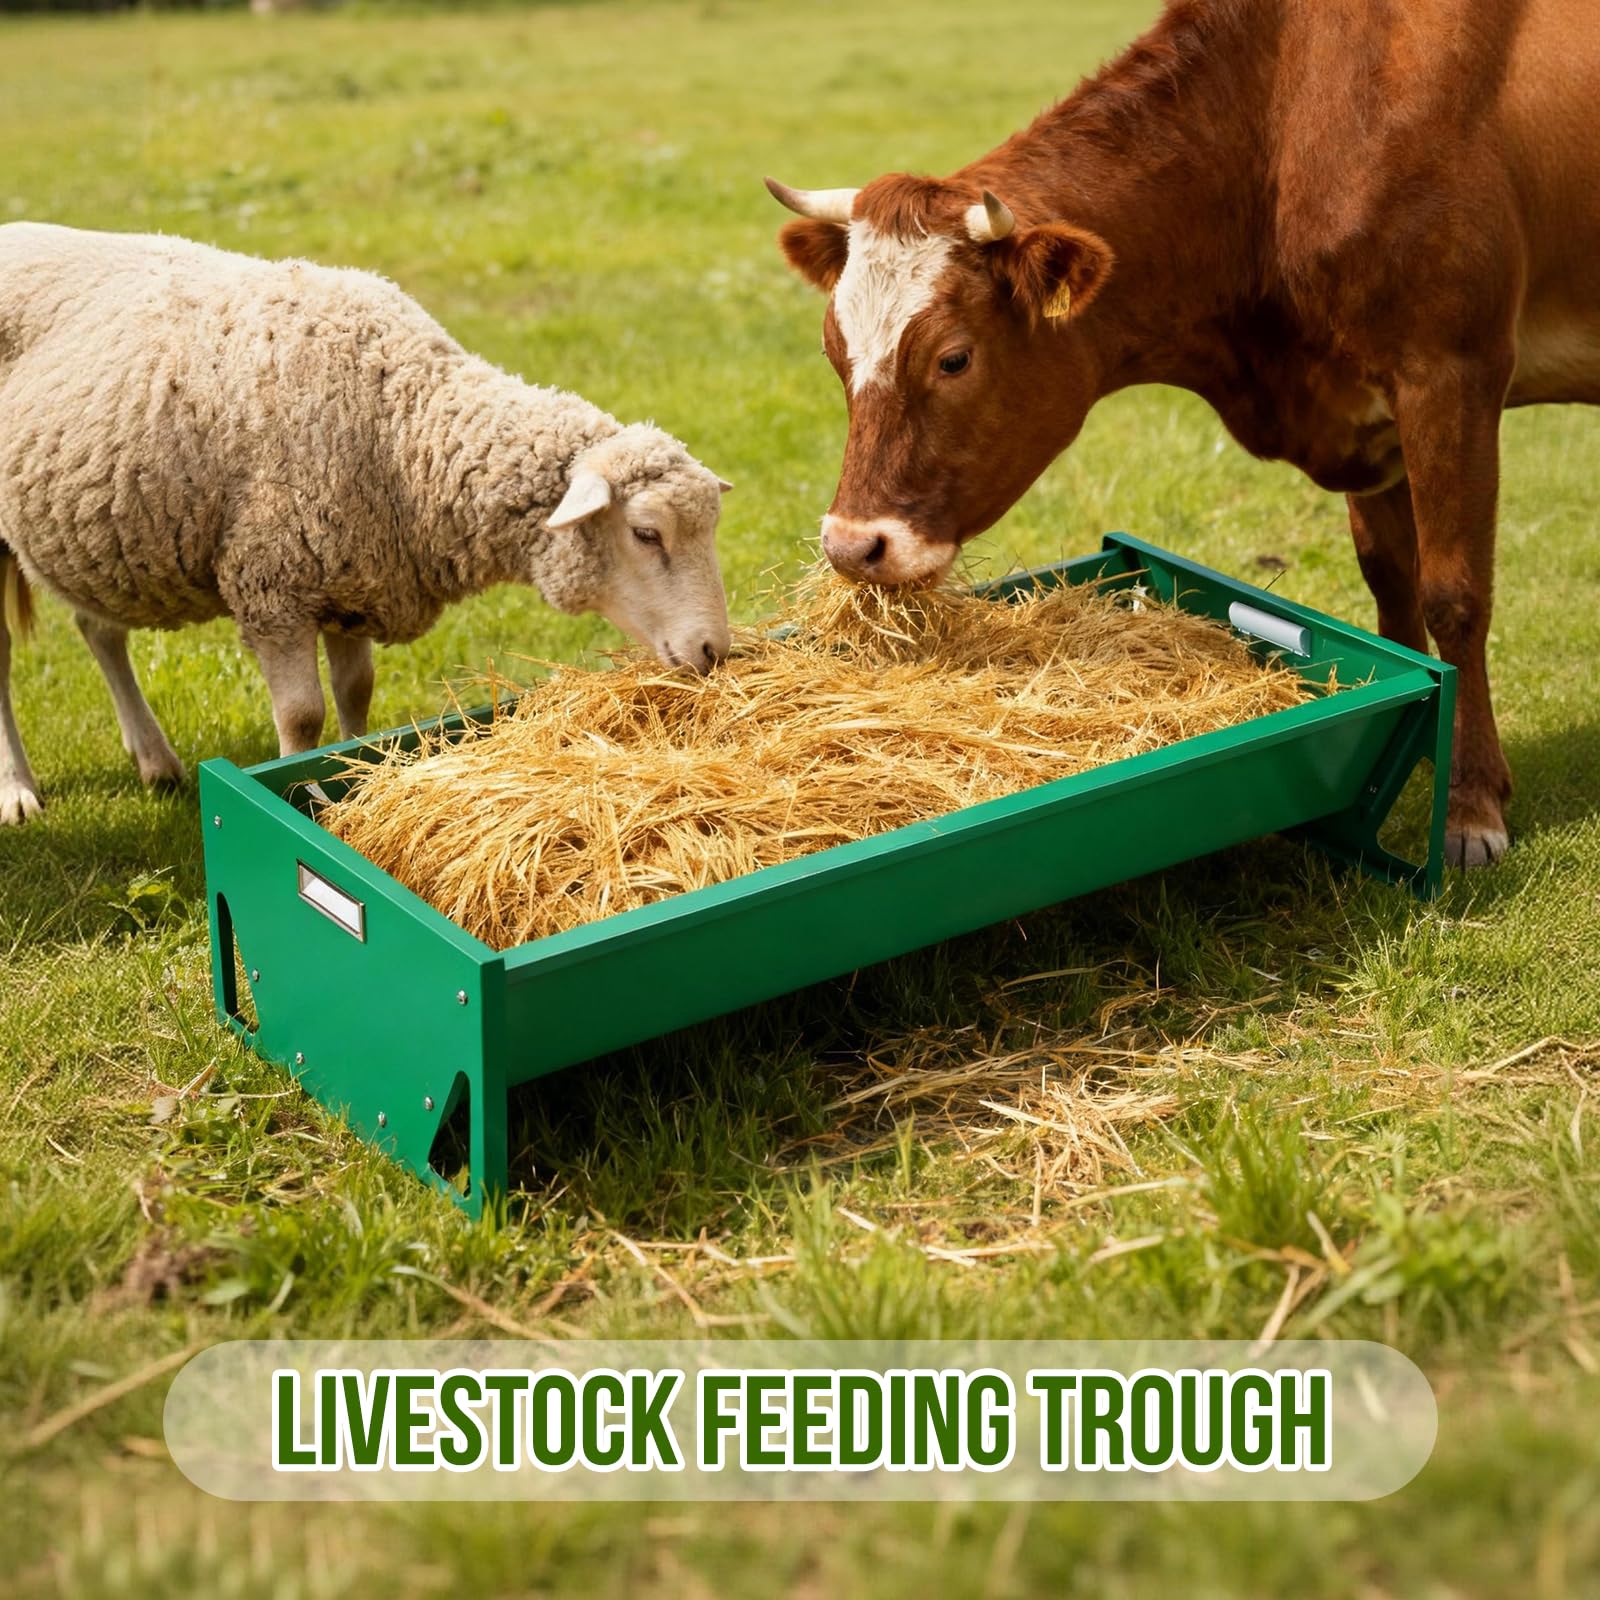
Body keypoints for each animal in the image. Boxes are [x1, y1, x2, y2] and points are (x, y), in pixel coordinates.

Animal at [0, 221, 733, 824]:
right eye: (646, 533)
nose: (715, 652)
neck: (401, 423)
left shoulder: (352, 578)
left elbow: (356, 693)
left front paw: (356, 774)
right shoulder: (273, 586)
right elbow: (302, 716)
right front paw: (300, 781)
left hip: (87, 532)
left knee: (98, 628)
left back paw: (153, 760)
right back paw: (18, 792)